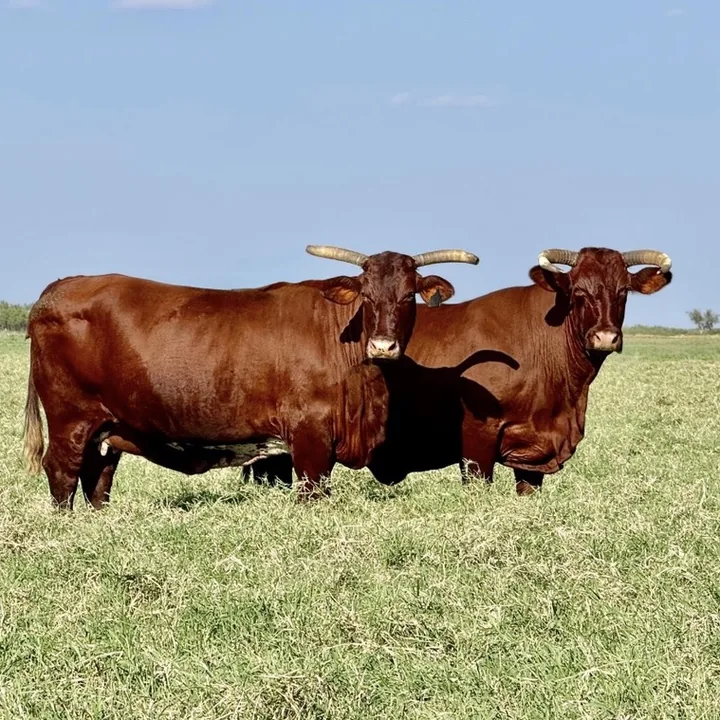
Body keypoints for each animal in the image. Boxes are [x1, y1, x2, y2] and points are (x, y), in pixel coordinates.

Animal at [21, 245, 479, 509]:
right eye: (366, 295)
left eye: (407, 297)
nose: (384, 346)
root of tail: (60, 287)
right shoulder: (310, 439)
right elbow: (313, 494)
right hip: (69, 417)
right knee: (62, 472)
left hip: (108, 423)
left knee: (98, 476)